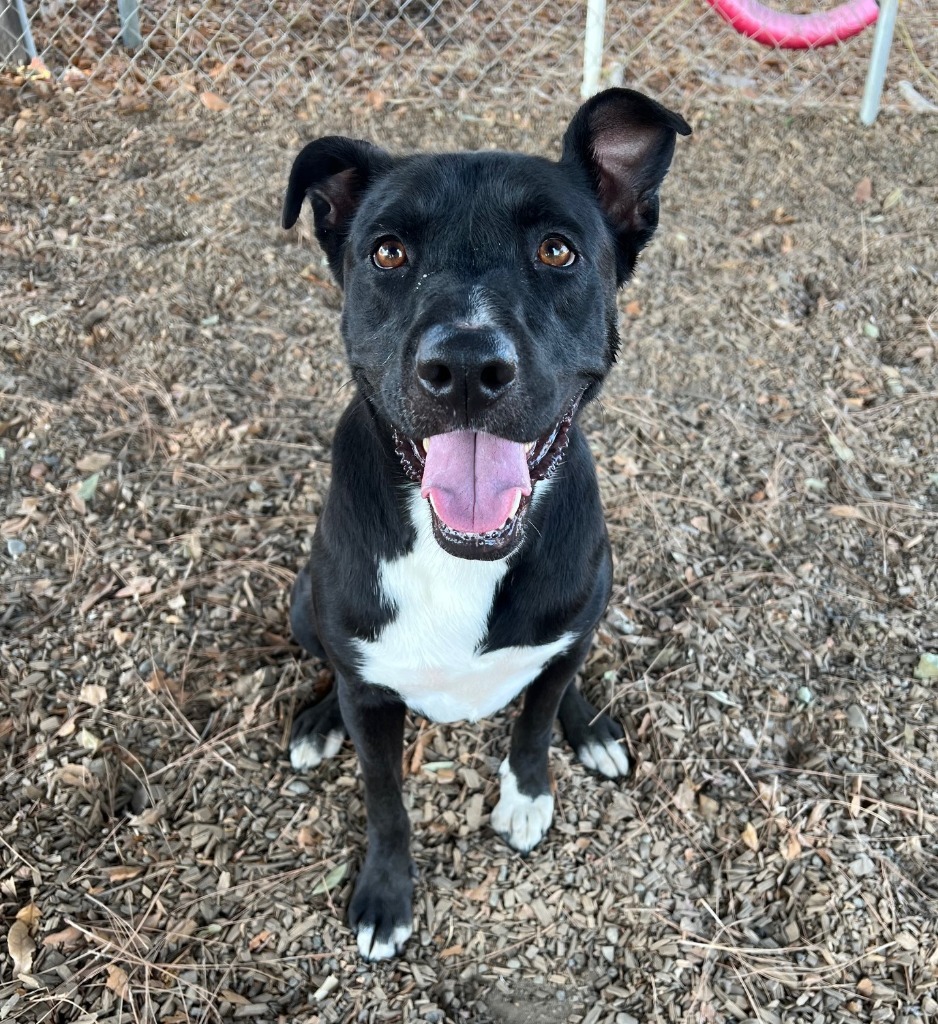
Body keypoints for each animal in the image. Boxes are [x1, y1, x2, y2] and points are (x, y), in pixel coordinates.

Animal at [280, 88, 688, 958]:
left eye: (558, 251)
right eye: (388, 254)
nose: (466, 365)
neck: (461, 555)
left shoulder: (567, 628)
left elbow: (532, 727)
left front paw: (527, 796)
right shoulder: (372, 700)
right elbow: (385, 798)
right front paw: (386, 894)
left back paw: (590, 728)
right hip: (302, 604)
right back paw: (319, 719)